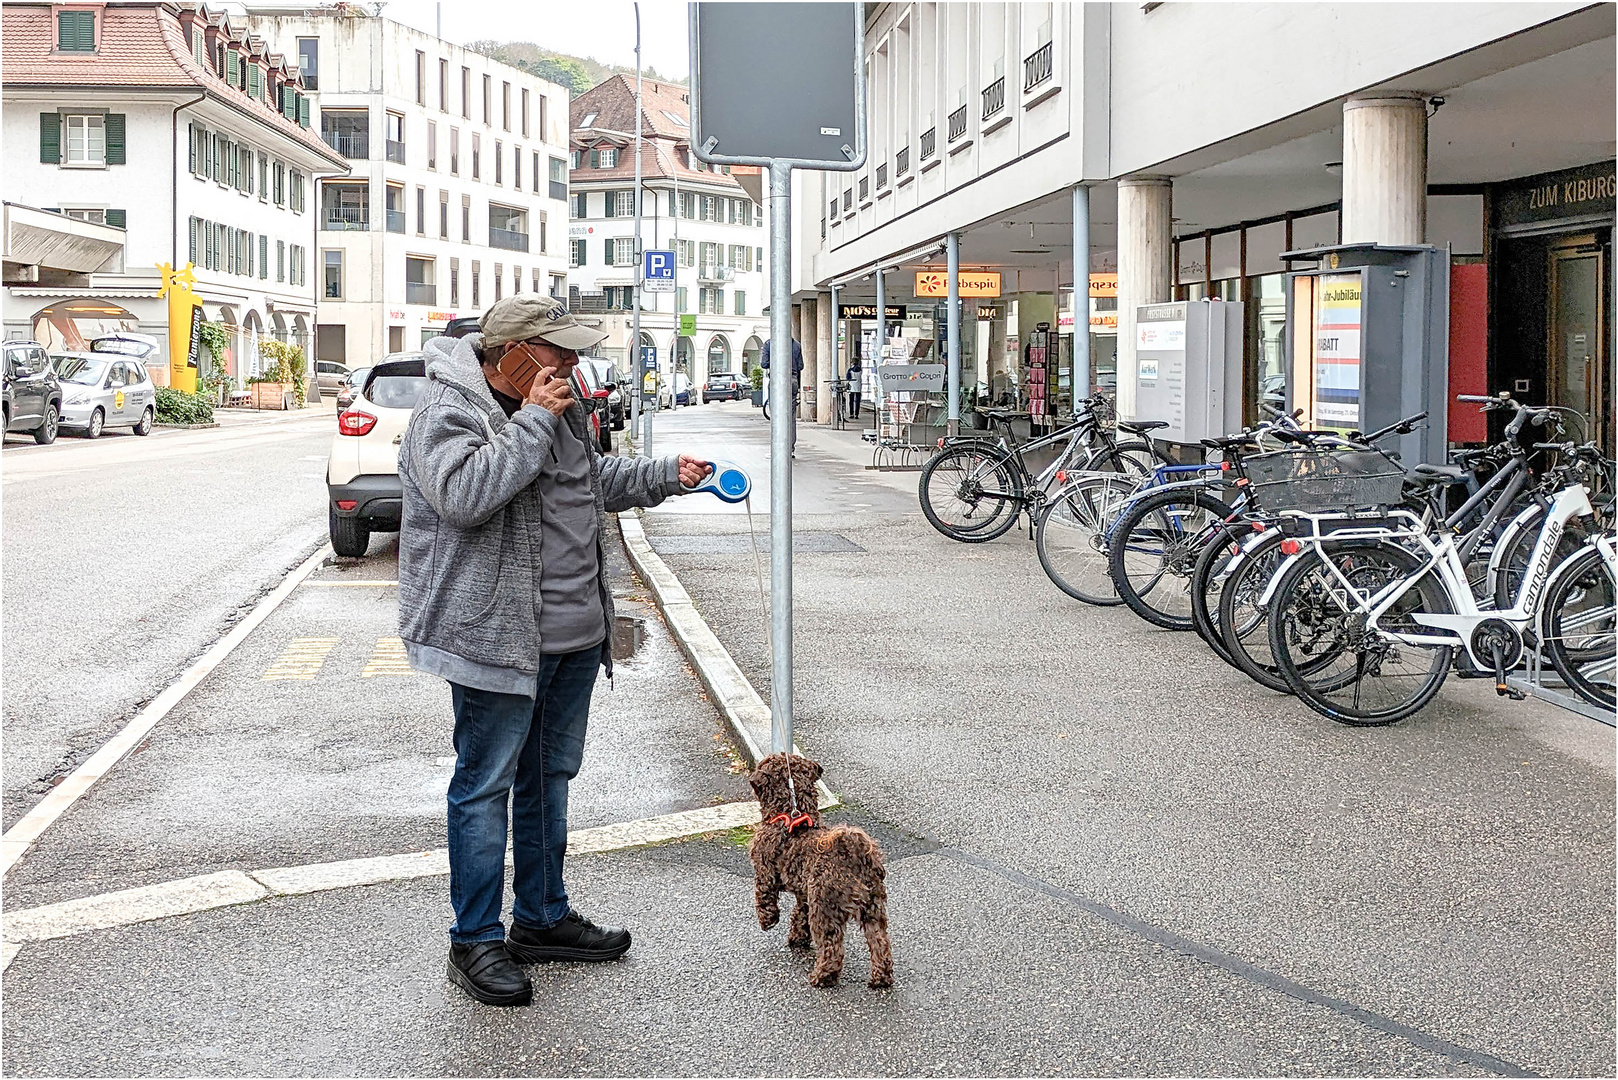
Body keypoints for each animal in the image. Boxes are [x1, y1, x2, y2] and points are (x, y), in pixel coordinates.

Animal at [747, 751, 899, 990]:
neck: (788, 815)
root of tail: (853, 853)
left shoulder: (764, 872)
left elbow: (764, 898)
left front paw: (767, 921)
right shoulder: (804, 895)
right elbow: (799, 914)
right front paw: (798, 938)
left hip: (824, 907)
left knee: (831, 947)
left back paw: (822, 977)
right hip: (873, 907)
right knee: (880, 942)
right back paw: (880, 978)